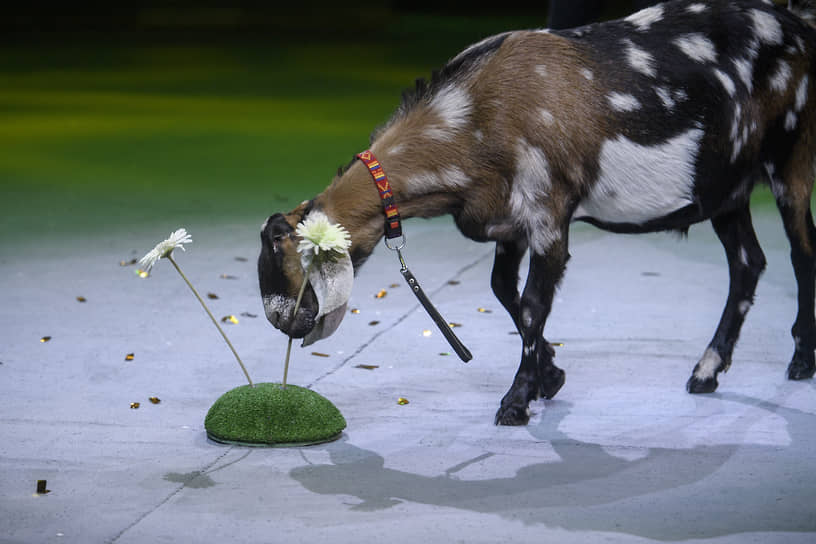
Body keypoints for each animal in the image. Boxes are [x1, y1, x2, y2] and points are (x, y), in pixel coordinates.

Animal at [260, 0, 816, 424]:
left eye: (284, 256)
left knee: (800, 253)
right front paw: (551, 374)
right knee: (747, 263)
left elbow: (530, 305)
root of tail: (797, 22)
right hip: (728, 189)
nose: (281, 323)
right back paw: (707, 370)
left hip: (790, 162)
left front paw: (517, 400)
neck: (473, 119)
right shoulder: (510, 223)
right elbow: (504, 291)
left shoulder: (548, 216)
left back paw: (800, 360)